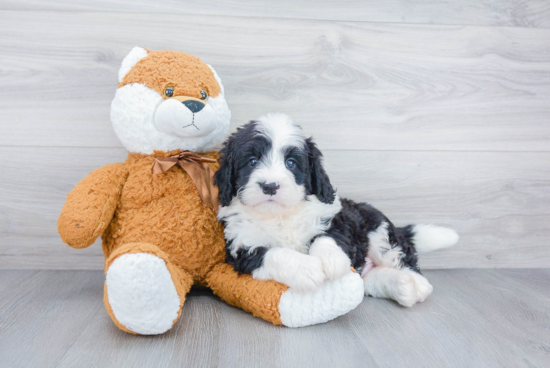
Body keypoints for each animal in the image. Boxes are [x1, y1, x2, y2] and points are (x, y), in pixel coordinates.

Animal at [216, 113, 462, 308]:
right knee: (370, 280)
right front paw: (307, 269)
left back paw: (417, 283)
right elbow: (275, 253)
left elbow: (328, 238)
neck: (279, 214)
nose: (270, 186)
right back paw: (401, 286)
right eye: (252, 161)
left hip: (379, 231)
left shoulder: (336, 218)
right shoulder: (242, 247)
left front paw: (330, 261)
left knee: (400, 255)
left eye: (291, 163)